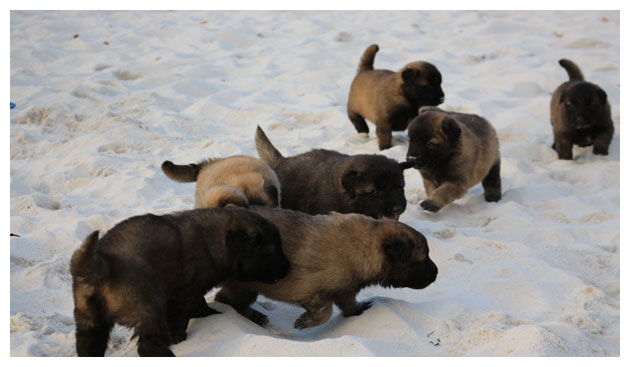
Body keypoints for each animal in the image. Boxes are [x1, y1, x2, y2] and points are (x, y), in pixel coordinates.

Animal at [71, 208, 292, 358]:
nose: (289, 268)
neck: (212, 242)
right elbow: (181, 318)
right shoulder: (187, 293)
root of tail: (101, 264)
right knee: (149, 345)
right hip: (148, 309)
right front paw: (180, 338)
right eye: (273, 252)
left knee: (87, 346)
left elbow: (200, 306)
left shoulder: (192, 292)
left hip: (88, 320)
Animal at [215, 207, 436, 330]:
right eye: (424, 258)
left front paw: (358, 310)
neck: (361, 247)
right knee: (227, 300)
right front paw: (304, 322)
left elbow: (348, 303)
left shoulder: (346, 288)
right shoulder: (308, 290)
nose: (436, 274)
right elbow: (325, 311)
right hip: (244, 284)